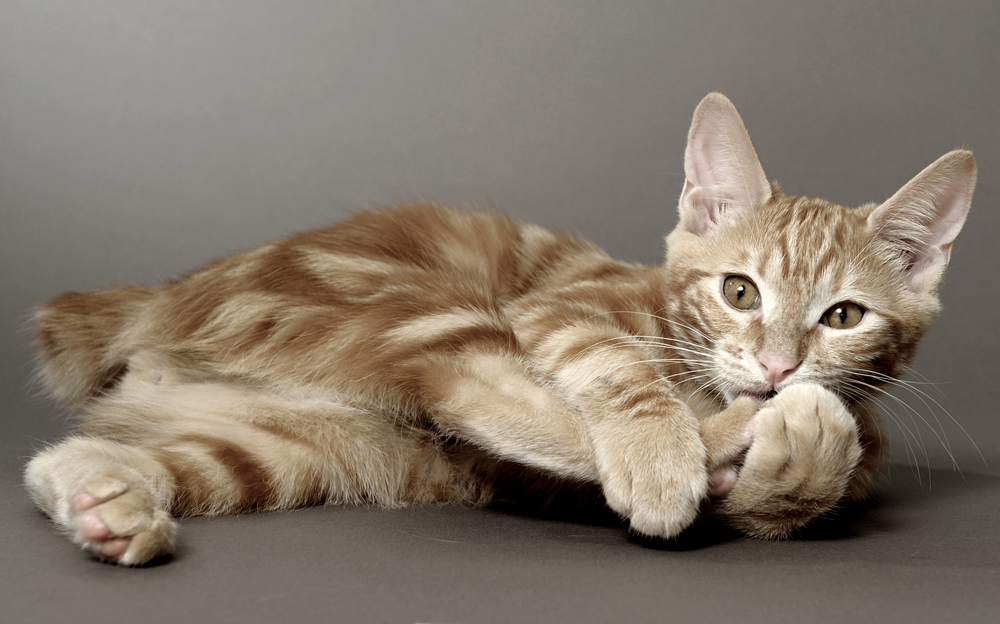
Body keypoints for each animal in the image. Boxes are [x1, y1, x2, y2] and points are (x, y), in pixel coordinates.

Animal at [25, 92, 976, 564]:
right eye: (740, 291)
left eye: (843, 316)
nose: (779, 370)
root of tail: (162, 295)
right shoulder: (560, 307)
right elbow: (618, 367)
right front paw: (671, 458)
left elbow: (783, 501)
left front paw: (804, 454)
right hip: (426, 308)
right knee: (477, 389)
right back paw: (717, 436)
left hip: (312, 449)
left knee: (115, 461)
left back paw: (106, 497)